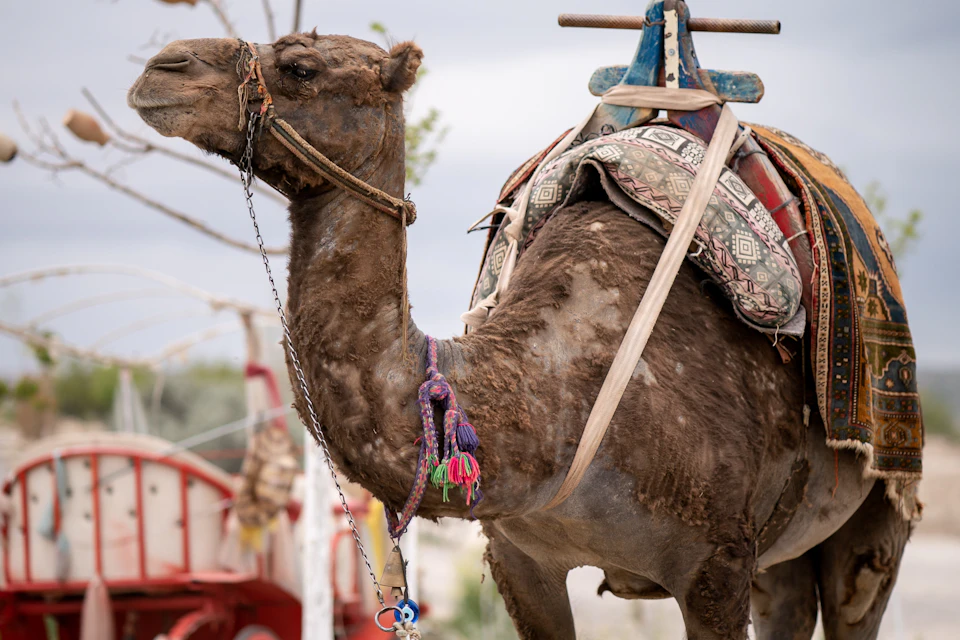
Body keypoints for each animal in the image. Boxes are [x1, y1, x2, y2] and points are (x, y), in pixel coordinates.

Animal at [128, 32, 913, 639]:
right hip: (781, 554)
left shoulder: (716, 565)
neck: (556, 392)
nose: (160, 68)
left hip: (874, 514)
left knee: (856, 593)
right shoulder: (520, 558)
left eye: (300, 66)